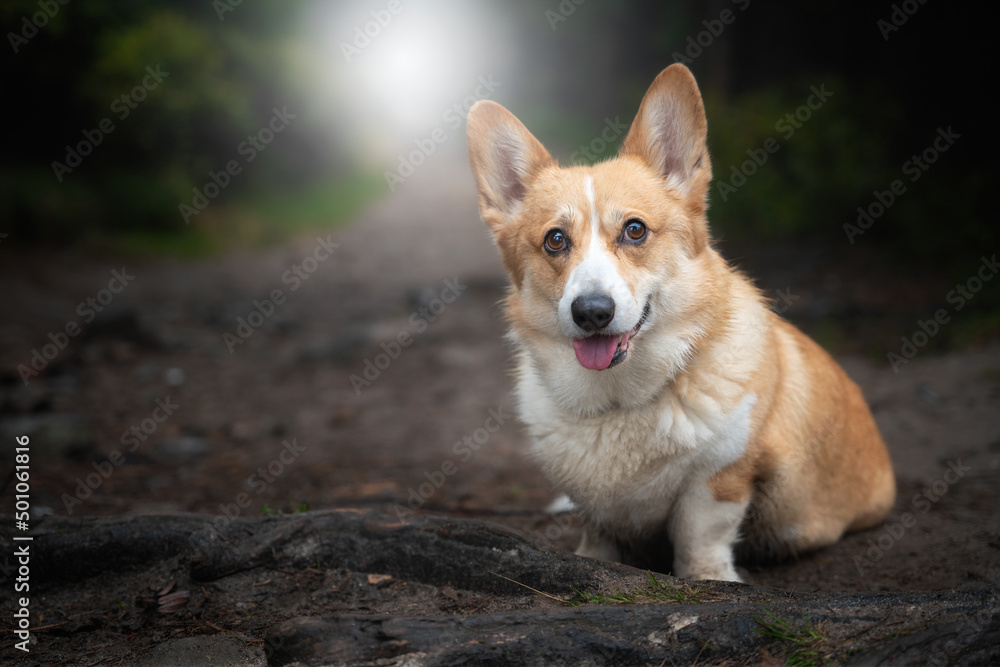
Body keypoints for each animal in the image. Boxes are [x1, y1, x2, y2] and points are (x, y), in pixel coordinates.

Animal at [464, 65, 896, 580]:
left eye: (634, 230)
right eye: (555, 240)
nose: (592, 312)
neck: (619, 401)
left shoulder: (719, 477)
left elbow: (699, 536)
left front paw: (710, 578)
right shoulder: (595, 507)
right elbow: (597, 533)